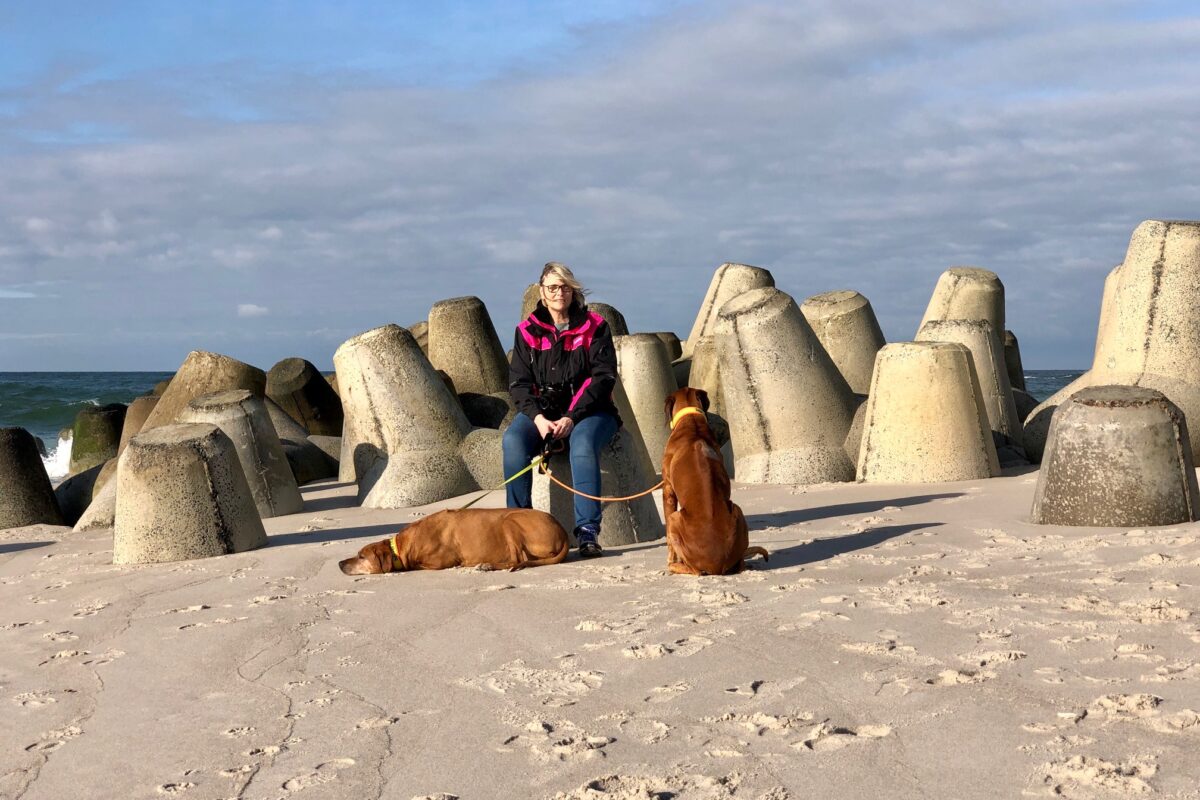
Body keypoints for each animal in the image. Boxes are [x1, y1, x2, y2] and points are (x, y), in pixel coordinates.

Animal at [340, 506, 568, 575]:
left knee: (517, 559)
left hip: (509, 521)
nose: (339, 563)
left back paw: (488, 565)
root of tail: (562, 530)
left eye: (361, 556)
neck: (403, 546)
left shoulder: (438, 562)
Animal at [657, 388, 768, 575]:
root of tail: (716, 566)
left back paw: (674, 566)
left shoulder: (668, 490)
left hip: (674, 518)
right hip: (737, 510)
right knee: (740, 564)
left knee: (694, 571)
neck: (692, 422)